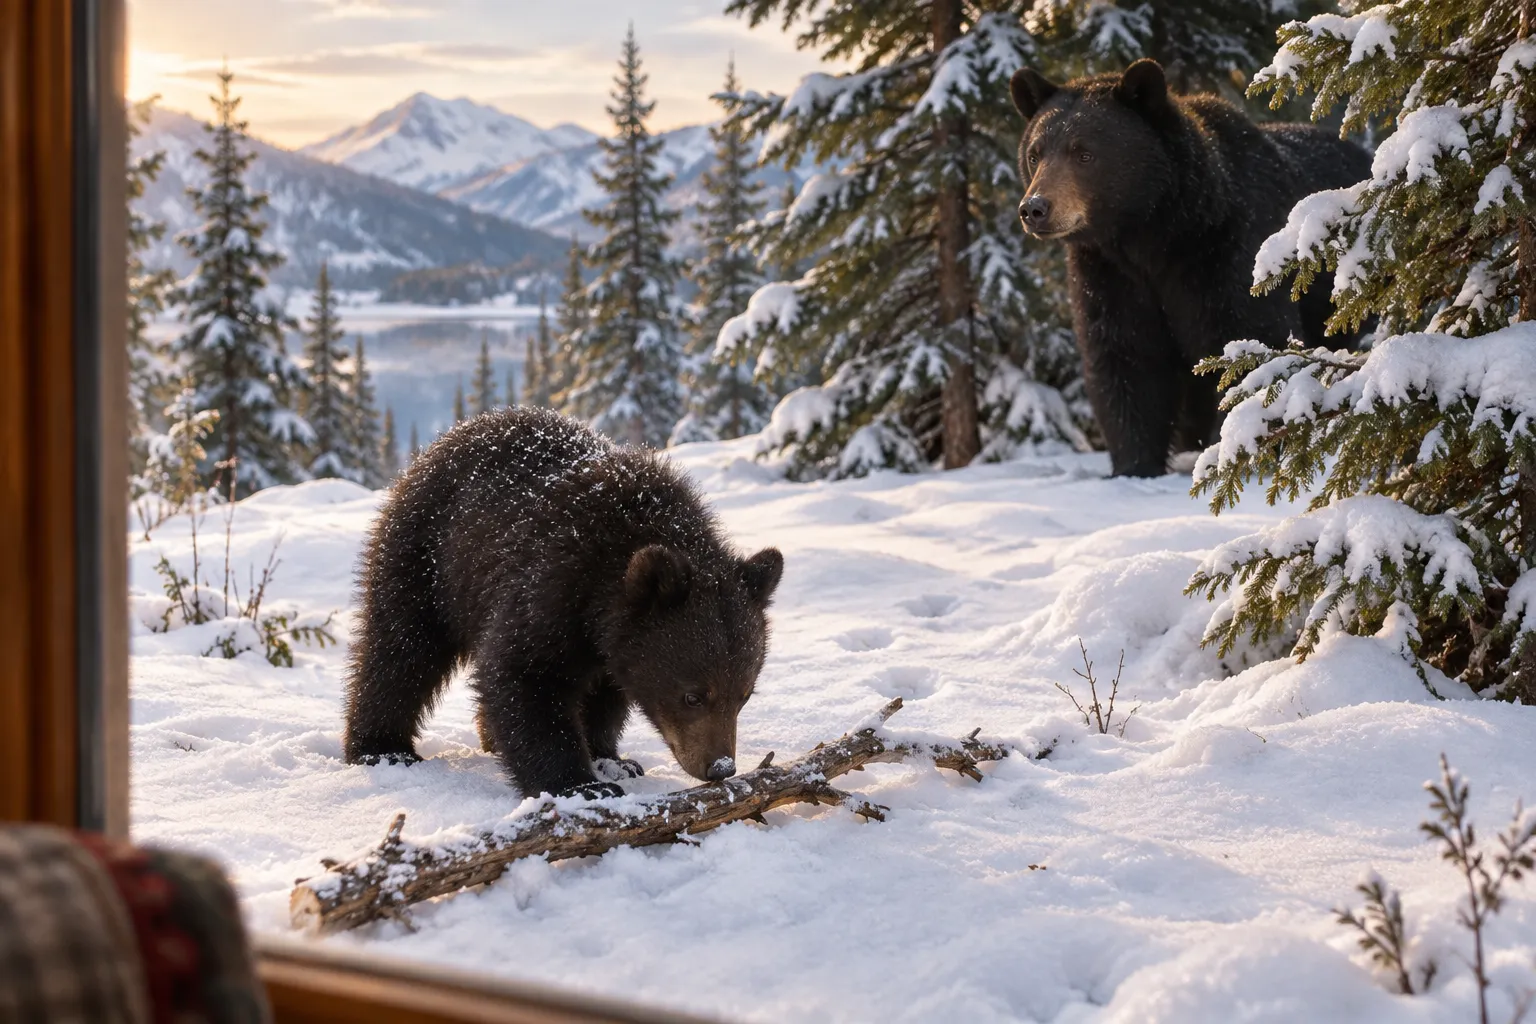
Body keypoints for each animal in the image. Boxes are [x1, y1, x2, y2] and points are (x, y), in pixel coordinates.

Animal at [342, 407, 784, 800]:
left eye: (745, 694)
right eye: (693, 695)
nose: (720, 767)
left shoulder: (612, 641)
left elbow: (605, 695)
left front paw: (611, 759)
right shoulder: (551, 585)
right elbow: (525, 677)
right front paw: (580, 783)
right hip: (429, 560)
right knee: (401, 650)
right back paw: (382, 748)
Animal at [1009, 59, 1372, 477]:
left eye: (1084, 153)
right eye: (1035, 154)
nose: (1035, 208)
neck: (1152, 233)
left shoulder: (1227, 252)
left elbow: (1251, 339)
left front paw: (1237, 448)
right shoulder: (1108, 274)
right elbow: (1126, 359)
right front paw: (1134, 466)